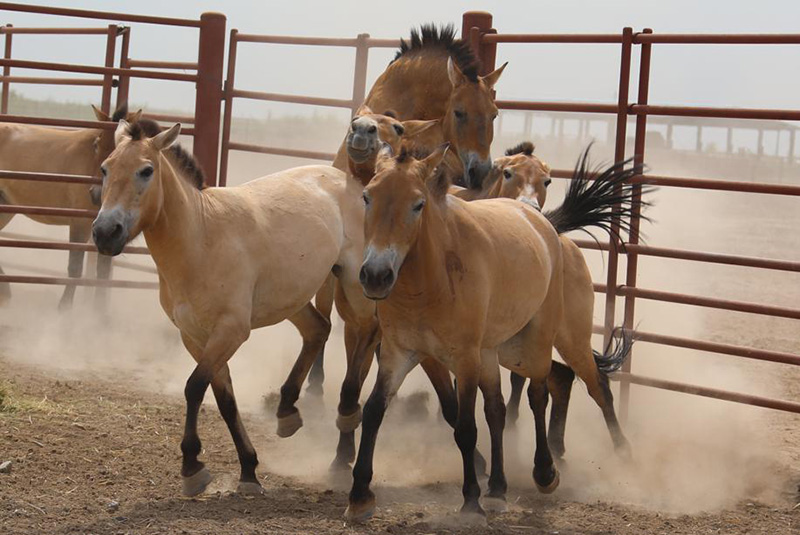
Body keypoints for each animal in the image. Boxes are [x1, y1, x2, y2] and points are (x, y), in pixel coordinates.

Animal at [0, 103, 139, 310]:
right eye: (97, 145)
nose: (96, 194)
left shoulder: (111, 231)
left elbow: (103, 271)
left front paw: (100, 312)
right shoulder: (79, 223)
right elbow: (75, 267)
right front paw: (65, 308)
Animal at [93, 119, 366, 496]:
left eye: (146, 171)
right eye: (105, 168)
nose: (105, 232)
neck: (201, 238)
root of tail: (350, 181)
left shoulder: (231, 331)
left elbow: (194, 387)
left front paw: (192, 467)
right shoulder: (195, 336)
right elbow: (224, 399)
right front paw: (248, 470)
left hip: (357, 288)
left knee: (361, 355)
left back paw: (343, 452)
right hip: (292, 298)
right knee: (318, 330)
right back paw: (286, 412)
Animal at [346, 144, 648, 520]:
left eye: (418, 204)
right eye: (367, 197)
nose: (375, 275)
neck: (432, 277)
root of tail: (543, 224)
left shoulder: (465, 359)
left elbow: (465, 427)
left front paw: (471, 501)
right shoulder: (398, 352)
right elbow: (374, 411)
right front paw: (359, 495)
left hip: (551, 340)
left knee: (567, 390)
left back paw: (572, 466)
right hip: (500, 351)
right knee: (503, 407)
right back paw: (500, 486)